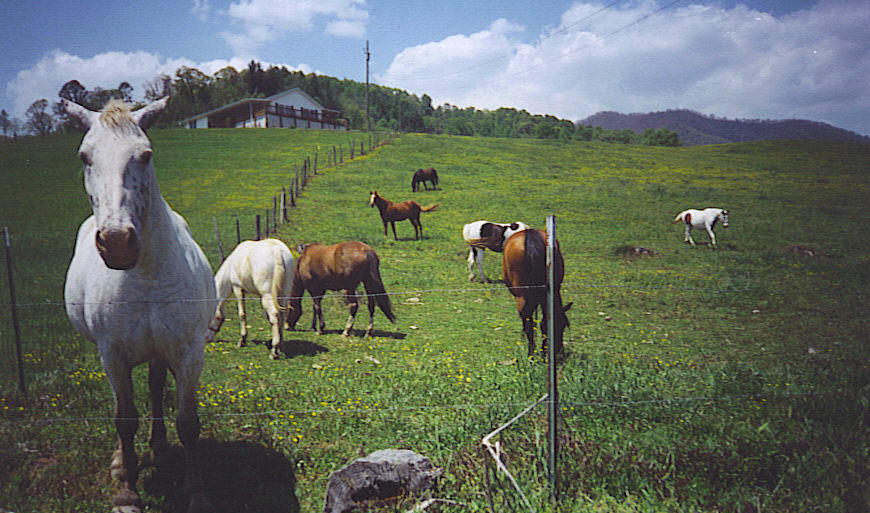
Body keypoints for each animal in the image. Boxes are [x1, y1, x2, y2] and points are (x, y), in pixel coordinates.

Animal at [63, 98, 216, 510]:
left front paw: (197, 490)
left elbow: (187, 422)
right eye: (85, 156)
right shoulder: (112, 353)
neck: (146, 274)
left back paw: (159, 447)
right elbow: (124, 419)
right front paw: (127, 491)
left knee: (155, 386)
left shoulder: (188, 351)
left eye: (146, 155)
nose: (117, 242)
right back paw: (121, 461)